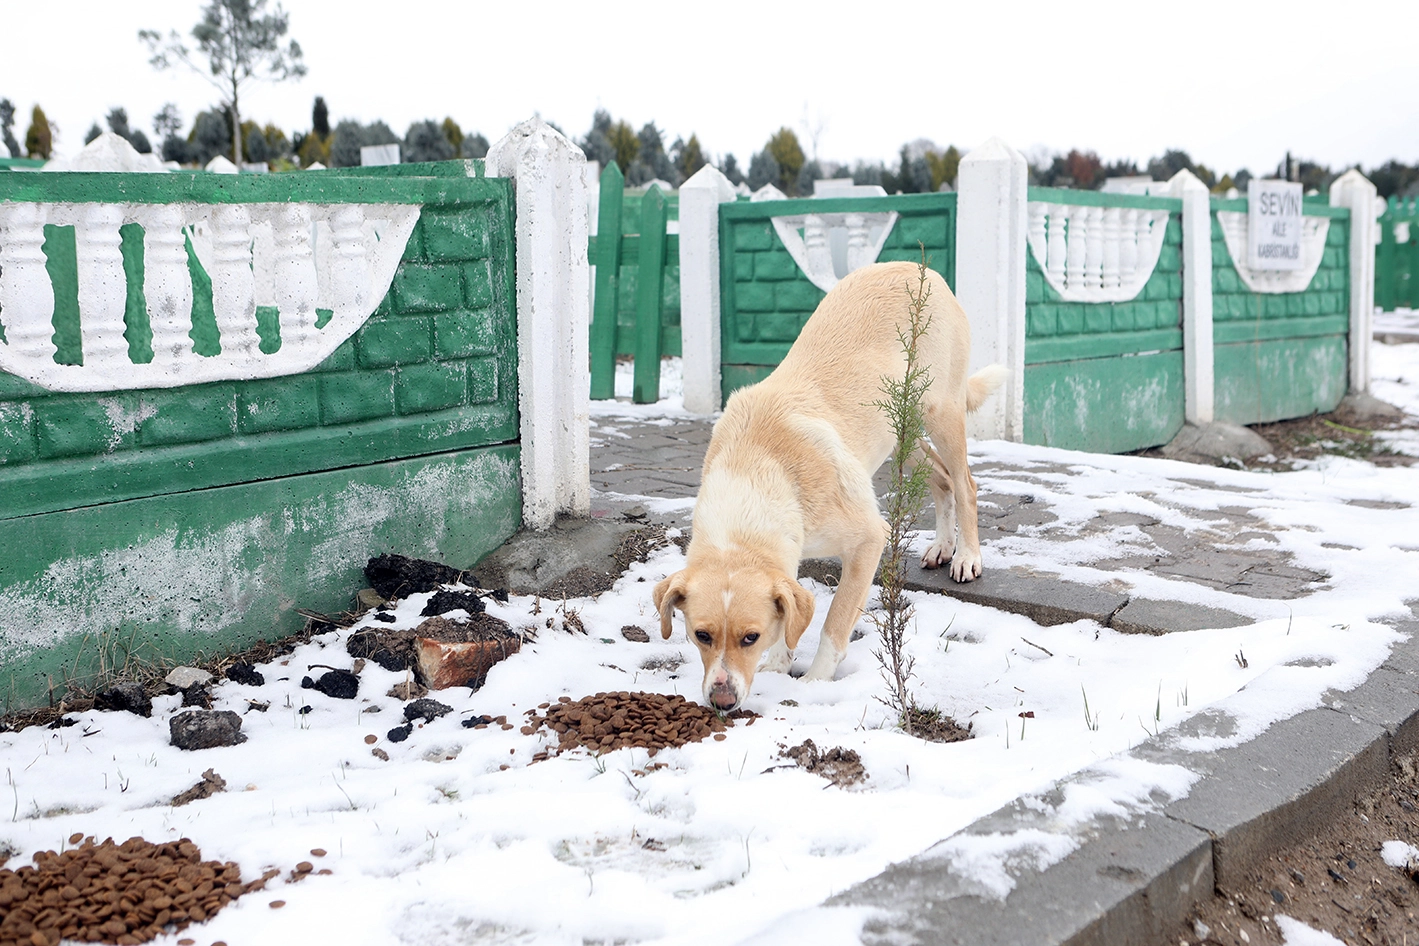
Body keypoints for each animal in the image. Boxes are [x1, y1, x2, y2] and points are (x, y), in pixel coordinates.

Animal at [652, 259, 1010, 709]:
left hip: (939, 412)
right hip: (899, 432)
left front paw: (814, 681)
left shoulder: (869, 540)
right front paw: (779, 664)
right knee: (942, 479)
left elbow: (833, 624)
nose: (722, 702)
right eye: (701, 635)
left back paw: (966, 556)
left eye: (750, 637)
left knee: (965, 484)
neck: (754, 469)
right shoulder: (788, 555)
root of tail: (917, 266)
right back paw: (943, 546)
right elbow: (789, 612)